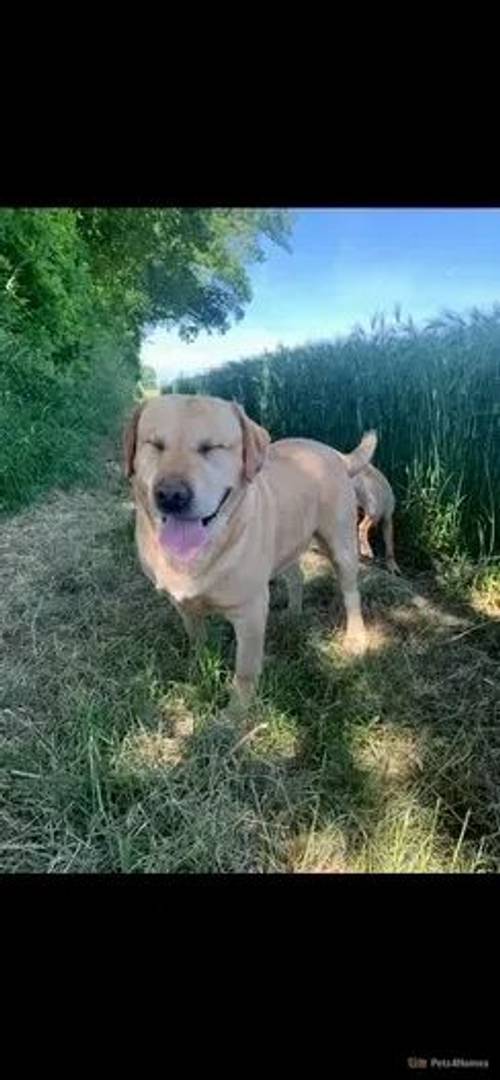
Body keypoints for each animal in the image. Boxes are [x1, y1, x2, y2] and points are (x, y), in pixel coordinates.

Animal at [123, 393, 377, 721]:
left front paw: (234, 716)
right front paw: (198, 670)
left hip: (341, 546)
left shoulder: (250, 613)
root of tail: (336, 453)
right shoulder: (182, 605)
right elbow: (197, 640)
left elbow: (244, 671)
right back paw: (293, 613)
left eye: (211, 447)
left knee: (351, 593)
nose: (170, 495)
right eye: (154, 444)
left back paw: (356, 638)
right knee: (296, 576)